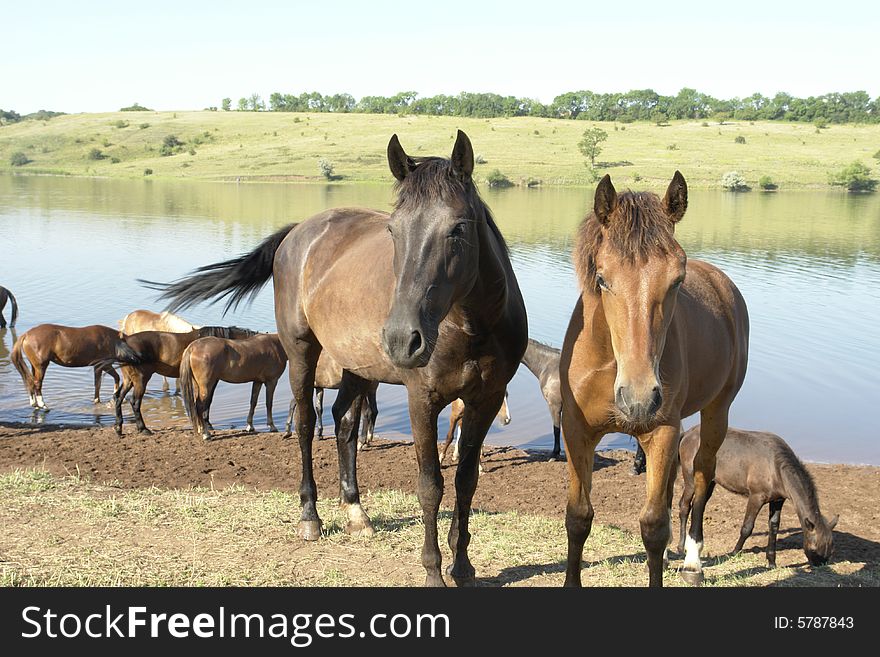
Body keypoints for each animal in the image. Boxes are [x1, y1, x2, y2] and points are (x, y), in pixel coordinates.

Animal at [10, 324, 141, 410]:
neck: (112, 340)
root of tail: (26, 334)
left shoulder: (98, 366)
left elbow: (98, 383)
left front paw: (98, 400)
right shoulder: (104, 364)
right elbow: (115, 377)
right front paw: (117, 398)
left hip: (34, 366)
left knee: (30, 381)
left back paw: (34, 404)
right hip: (41, 366)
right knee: (37, 383)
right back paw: (43, 404)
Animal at [98, 324, 260, 436]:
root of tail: (125, 341)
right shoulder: (209, 381)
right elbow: (206, 401)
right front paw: (207, 424)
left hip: (129, 379)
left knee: (118, 397)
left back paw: (118, 427)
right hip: (141, 380)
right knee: (135, 402)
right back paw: (143, 429)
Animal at [149, 131, 528, 588]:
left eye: (458, 228)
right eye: (393, 230)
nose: (402, 338)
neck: (471, 327)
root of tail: (299, 232)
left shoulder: (484, 400)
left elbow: (466, 481)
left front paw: (464, 567)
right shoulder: (423, 400)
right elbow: (430, 485)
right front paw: (434, 572)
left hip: (357, 367)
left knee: (344, 422)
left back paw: (356, 512)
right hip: (301, 352)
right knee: (306, 425)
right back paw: (310, 518)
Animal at [560, 172, 744, 588]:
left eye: (677, 280)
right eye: (602, 278)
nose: (639, 399)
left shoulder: (661, 431)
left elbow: (654, 527)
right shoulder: (577, 430)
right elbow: (578, 516)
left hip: (718, 412)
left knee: (702, 480)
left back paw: (692, 559)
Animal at [676, 428, 836, 568]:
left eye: (830, 548)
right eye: (814, 548)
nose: (819, 565)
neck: (776, 467)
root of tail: (688, 433)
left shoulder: (778, 500)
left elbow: (774, 527)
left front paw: (771, 562)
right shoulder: (756, 497)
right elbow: (747, 527)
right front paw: (734, 552)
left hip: (709, 482)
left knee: (699, 506)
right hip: (691, 480)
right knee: (685, 506)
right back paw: (681, 547)